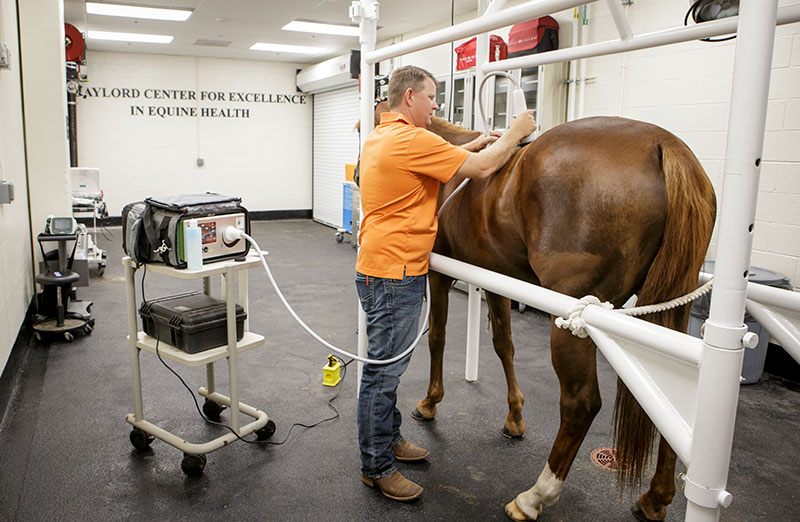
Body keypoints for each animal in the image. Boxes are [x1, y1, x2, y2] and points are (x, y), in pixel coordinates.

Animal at [366, 101, 716, 516]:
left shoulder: (438, 275)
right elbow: (504, 345)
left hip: (574, 321)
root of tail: (663, 144)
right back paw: (655, 496)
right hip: (669, 311)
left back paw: (536, 496)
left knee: (581, 403)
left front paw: (430, 402)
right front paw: (515, 417)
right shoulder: (496, 279)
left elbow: (437, 337)